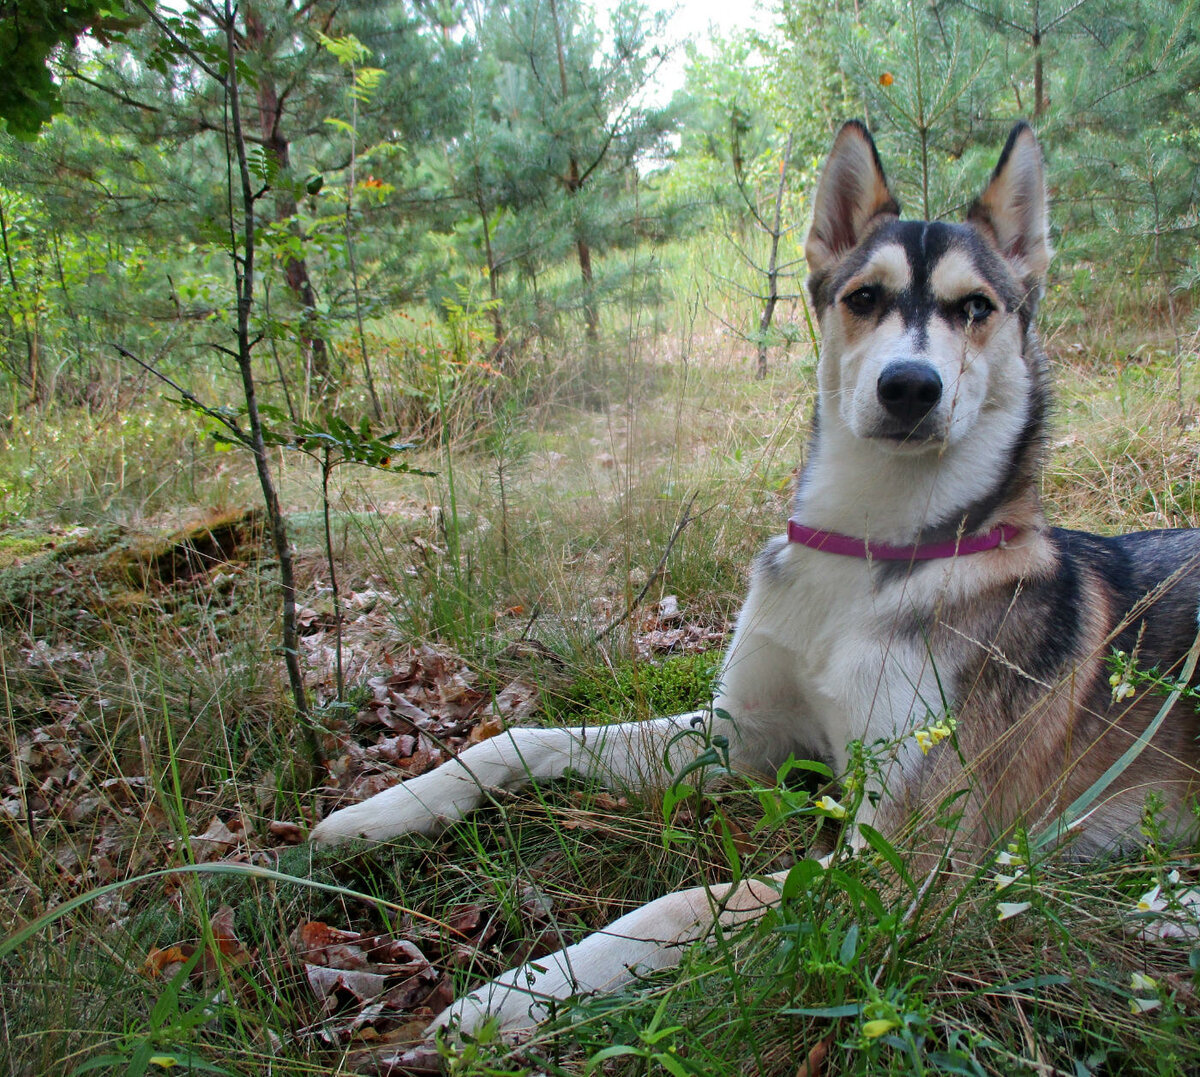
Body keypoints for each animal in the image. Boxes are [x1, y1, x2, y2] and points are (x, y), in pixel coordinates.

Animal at [312, 123, 1200, 1031]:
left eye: (976, 308)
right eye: (865, 297)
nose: (909, 386)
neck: (868, 554)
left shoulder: (904, 861)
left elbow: (676, 907)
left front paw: (511, 997)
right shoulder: (744, 733)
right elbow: (520, 738)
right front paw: (372, 812)